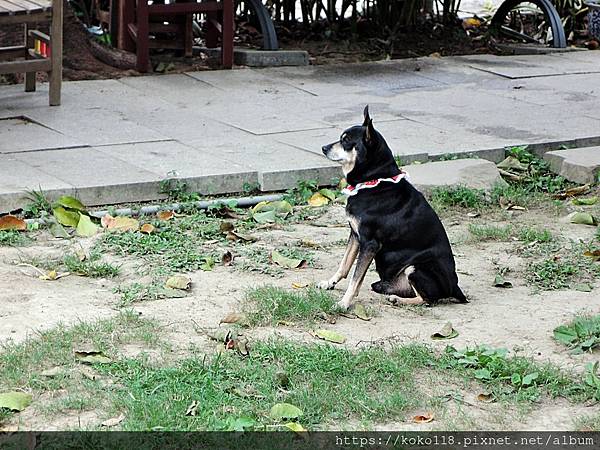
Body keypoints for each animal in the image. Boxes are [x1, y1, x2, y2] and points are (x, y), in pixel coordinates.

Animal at [318, 106, 468, 310]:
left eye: (346, 140)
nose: (323, 148)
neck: (374, 181)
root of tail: (455, 287)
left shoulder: (370, 243)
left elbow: (356, 279)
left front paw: (344, 303)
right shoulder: (355, 235)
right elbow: (344, 265)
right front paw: (330, 282)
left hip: (417, 267)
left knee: (429, 299)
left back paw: (398, 299)